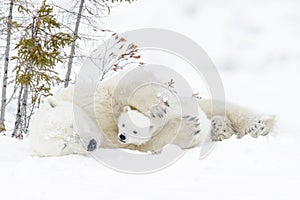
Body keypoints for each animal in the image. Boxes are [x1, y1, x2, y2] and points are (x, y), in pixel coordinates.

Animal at [29, 67, 276, 156]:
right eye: (64, 145)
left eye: (72, 124)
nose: (89, 144)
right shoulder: (113, 143)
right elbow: (147, 145)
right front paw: (190, 128)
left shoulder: (90, 95)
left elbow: (127, 83)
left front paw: (157, 108)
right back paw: (219, 128)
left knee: (223, 105)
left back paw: (259, 125)